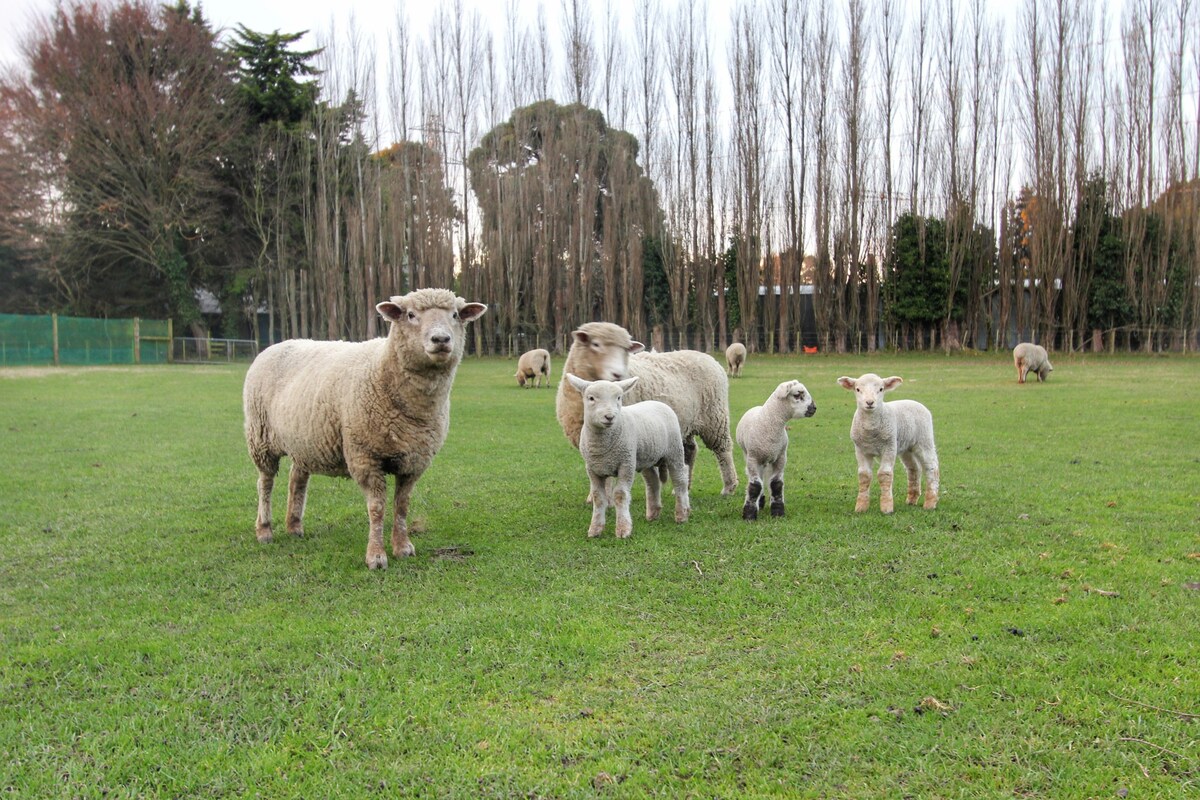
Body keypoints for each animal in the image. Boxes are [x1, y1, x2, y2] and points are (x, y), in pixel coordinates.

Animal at [243, 287, 487, 568]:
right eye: (410, 315)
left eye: (456, 315)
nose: (441, 339)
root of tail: (277, 344)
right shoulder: (365, 455)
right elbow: (377, 507)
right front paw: (376, 556)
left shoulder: (415, 460)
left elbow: (402, 505)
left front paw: (403, 547)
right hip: (260, 436)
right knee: (265, 482)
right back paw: (264, 530)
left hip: (304, 439)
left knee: (297, 478)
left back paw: (294, 526)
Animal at [554, 319, 739, 494]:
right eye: (596, 344)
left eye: (626, 349)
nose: (618, 374)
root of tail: (706, 356)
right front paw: (594, 496)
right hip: (684, 422)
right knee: (690, 451)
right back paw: (684, 486)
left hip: (714, 417)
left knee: (723, 448)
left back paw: (729, 486)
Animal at [564, 374, 691, 537]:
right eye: (591, 398)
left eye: (618, 398)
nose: (609, 416)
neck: (602, 447)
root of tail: (658, 402)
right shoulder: (592, 469)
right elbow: (598, 497)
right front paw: (595, 529)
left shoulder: (626, 463)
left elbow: (620, 494)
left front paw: (623, 529)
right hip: (645, 457)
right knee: (653, 482)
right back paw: (653, 513)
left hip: (674, 450)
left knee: (680, 479)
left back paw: (682, 514)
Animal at [729, 383, 816, 525]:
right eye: (797, 394)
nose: (814, 408)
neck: (769, 424)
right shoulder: (753, 458)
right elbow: (755, 485)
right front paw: (749, 515)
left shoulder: (781, 457)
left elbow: (776, 484)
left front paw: (778, 512)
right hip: (750, 455)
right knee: (757, 479)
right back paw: (759, 502)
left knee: (765, 477)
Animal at [835, 374, 936, 513]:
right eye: (858, 389)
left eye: (881, 389)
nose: (870, 402)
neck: (871, 431)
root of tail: (914, 402)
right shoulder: (860, 449)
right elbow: (864, 475)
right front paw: (861, 506)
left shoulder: (889, 447)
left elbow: (884, 474)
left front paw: (886, 507)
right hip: (906, 447)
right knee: (914, 468)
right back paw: (912, 499)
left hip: (924, 440)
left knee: (931, 467)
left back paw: (930, 502)